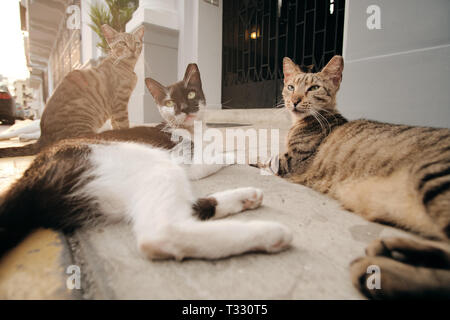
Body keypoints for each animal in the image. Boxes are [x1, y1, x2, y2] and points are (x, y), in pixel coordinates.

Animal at [0, 24, 143, 158]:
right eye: (123, 43)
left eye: (137, 43)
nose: (133, 49)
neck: (125, 68)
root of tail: (43, 136)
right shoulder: (119, 105)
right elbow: (124, 125)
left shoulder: (115, 111)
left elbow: (116, 126)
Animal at [264, 56, 450, 298]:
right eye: (290, 87)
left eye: (314, 88)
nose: (294, 100)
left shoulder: (289, 163)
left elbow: (257, 159)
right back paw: (389, 251)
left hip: (435, 177)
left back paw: (379, 272)